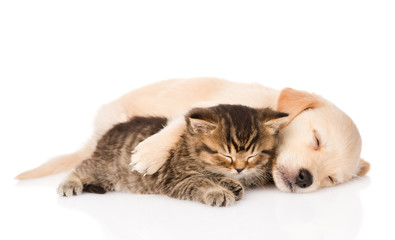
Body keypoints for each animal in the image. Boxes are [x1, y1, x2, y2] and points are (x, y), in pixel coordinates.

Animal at [58, 104, 288, 206]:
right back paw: (69, 184)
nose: (240, 169)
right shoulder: (176, 179)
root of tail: (110, 130)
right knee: (82, 167)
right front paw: (218, 191)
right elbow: (199, 181)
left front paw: (231, 184)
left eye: (252, 156)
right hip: (105, 166)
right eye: (226, 155)